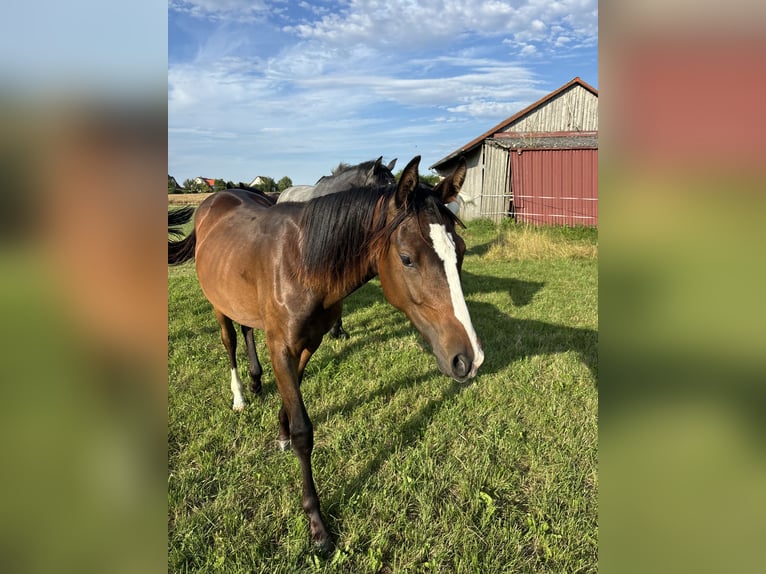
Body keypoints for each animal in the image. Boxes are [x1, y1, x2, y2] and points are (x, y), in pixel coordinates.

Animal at [169, 155, 486, 556]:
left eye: (459, 250)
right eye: (407, 259)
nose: (469, 358)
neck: (301, 261)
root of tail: (216, 198)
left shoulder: (309, 342)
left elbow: (293, 395)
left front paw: (280, 432)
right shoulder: (282, 346)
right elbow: (304, 431)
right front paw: (316, 525)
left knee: (247, 331)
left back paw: (256, 383)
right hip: (218, 305)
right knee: (229, 343)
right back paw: (240, 395)